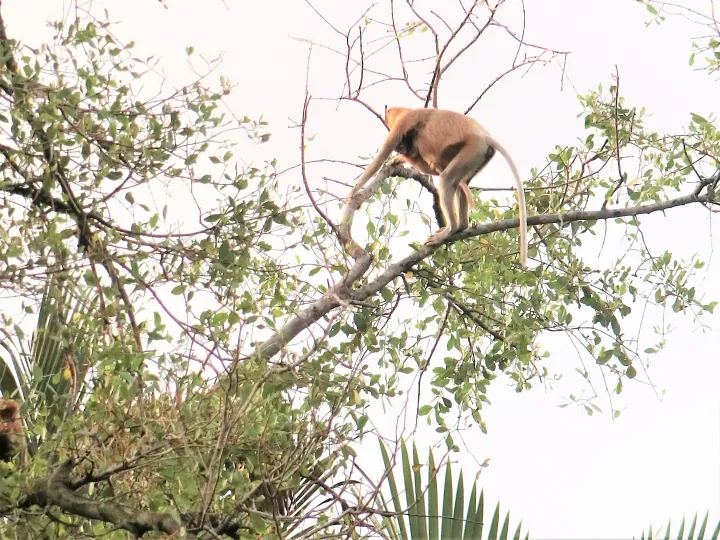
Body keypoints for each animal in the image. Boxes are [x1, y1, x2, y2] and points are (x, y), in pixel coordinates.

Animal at [349, 107, 528, 266]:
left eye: (402, 142)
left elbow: (382, 156)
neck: (408, 110)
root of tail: (484, 136)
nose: (401, 149)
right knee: (461, 184)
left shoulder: (404, 122)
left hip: (474, 148)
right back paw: (462, 225)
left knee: (446, 179)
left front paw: (353, 192)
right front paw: (397, 160)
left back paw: (451, 229)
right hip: (480, 155)